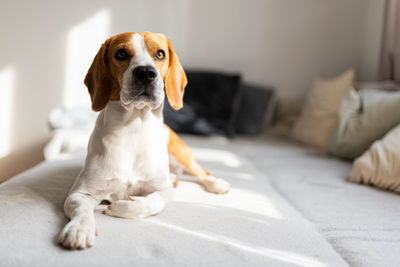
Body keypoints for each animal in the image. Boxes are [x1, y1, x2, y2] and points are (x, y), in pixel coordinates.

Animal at [57, 32, 230, 250]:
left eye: (160, 54)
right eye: (121, 53)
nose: (146, 73)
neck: (133, 129)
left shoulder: (163, 191)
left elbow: (151, 202)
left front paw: (120, 207)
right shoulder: (79, 193)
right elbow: (82, 209)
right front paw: (79, 228)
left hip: (180, 151)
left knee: (201, 171)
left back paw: (216, 183)